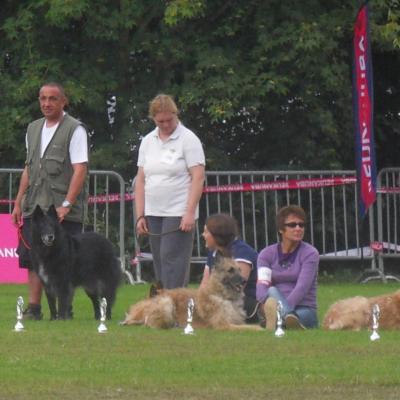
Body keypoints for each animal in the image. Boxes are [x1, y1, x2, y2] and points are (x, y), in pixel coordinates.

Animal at [120, 256, 260, 332]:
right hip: (166, 302)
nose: (244, 280)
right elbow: (249, 327)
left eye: (240, 269)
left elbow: (246, 325)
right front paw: (260, 328)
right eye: (230, 270)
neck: (223, 296)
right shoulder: (223, 325)